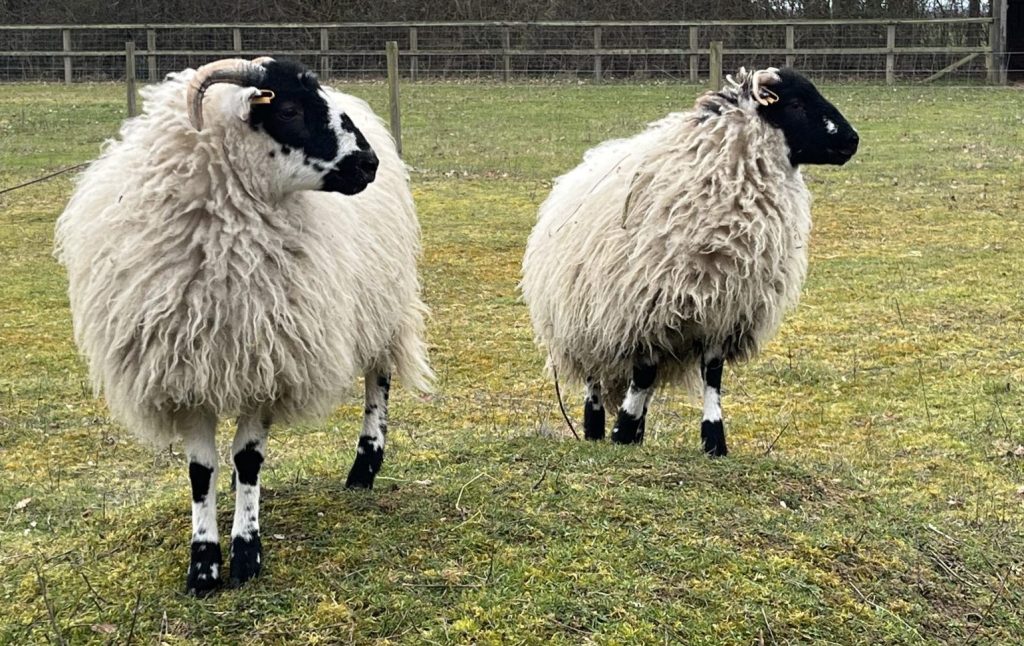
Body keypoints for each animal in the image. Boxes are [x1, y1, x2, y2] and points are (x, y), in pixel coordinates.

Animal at [55, 57, 432, 594]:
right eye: (289, 109)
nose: (368, 164)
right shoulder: (185, 374)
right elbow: (202, 470)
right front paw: (203, 564)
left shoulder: (267, 363)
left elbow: (249, 458)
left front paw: (246, 552)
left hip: (380, 299)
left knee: (377, 377)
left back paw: (364, 465)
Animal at [521, 67, 858, 456]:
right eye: (797, 103)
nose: (853, 141)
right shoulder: (647, 308)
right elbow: (644, 373)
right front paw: (622, 430)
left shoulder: (723, 311)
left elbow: (712, 376)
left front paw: (714, 440)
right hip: (585, 323)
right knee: (595, 383)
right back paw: (597, 430)